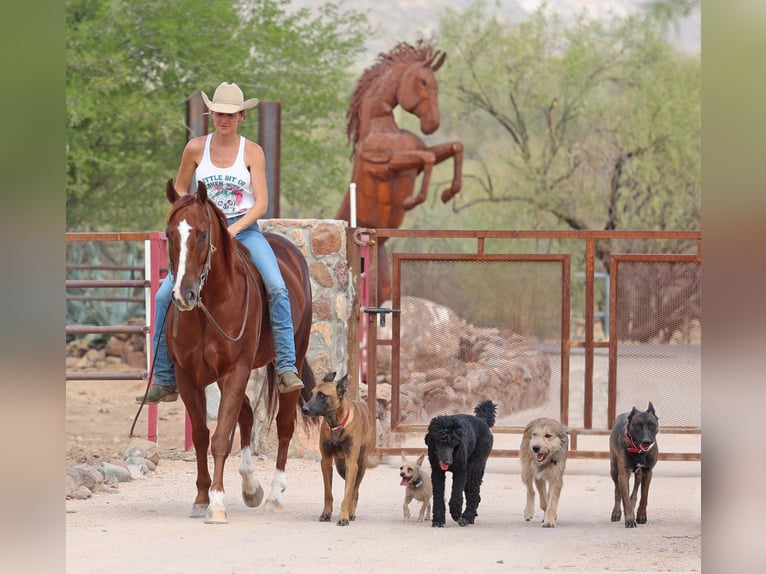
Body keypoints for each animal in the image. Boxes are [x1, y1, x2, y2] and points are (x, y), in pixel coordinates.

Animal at [164, 181, 316, 528]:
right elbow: (202, 435)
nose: (184, 295)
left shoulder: (235, 370)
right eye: (169, 234)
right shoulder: (188, 377)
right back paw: (251, 487)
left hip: (293, 356)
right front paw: (201, 498)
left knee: (284, 426)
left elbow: (221, 437)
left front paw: (217, 504)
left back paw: (274, 495)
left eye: (202, 234)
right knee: (246, 414)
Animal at [304, 374, 380, 528]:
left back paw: (351, 513)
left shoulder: (352, 463)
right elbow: (328, 493)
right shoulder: (326, 461)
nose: (304, 409)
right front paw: (326, 513)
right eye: (311, 394)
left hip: (360, 465)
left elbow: (348, 494)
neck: (336, 424)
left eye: (322, 396)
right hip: (340, 466)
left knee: (354, 490)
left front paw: (343, 516)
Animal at [340, 38, 464, 304]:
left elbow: (454, 147)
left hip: (383, 284)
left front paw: (448, 193)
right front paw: (413, 200)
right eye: (423, 81)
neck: (381, 125)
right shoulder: (388, 165)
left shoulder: (413, 163)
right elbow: (428, 157)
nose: (432, 125)